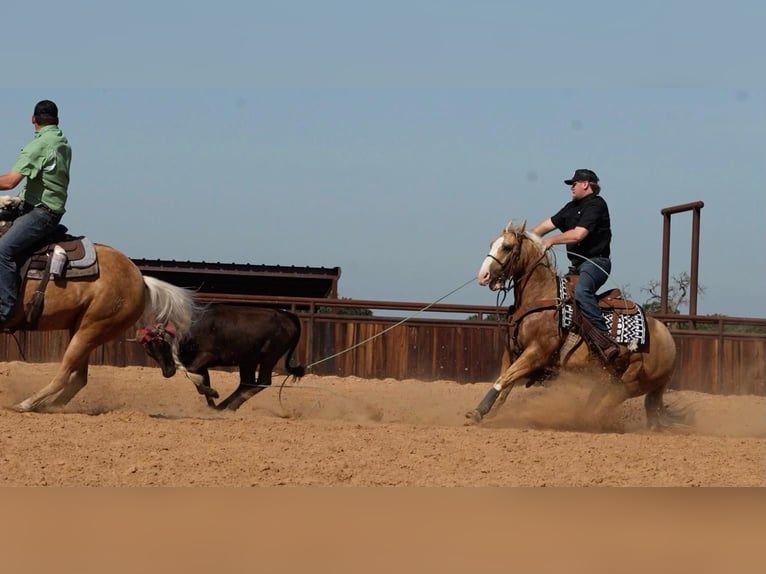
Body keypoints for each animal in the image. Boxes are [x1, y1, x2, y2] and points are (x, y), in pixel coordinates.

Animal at [3, 244, 195, 414]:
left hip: (90, 330)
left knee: (64, 376)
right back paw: (46, 405)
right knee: (79, 378)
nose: (169, 369)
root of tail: (142, 280)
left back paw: (26, 404)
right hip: (82, 332)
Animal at [140, 304, 308, 412]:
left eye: (162, 345)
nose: (168, 372)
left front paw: (213, 393)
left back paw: (231, 406)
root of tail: (287, 315)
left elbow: (192, 372)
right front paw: (211, 404)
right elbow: (200, 379)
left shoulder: (207, 355)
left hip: (269, 356)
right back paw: (223, 406)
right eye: (149, 352)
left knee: (263, 382)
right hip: (248, 360)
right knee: (246, 383)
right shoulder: (200, 363)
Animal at [472, 223, 680, 430]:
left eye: (507, 247)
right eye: (492, 244)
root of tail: (668, 339)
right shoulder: (511, 353)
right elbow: (504, 385)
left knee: (604, 405)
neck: (540, 297)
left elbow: (504, 379)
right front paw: (487, 413)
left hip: (629, 384)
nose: (483, 276)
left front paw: (480, 411)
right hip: (610, 378)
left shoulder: (536, 353)